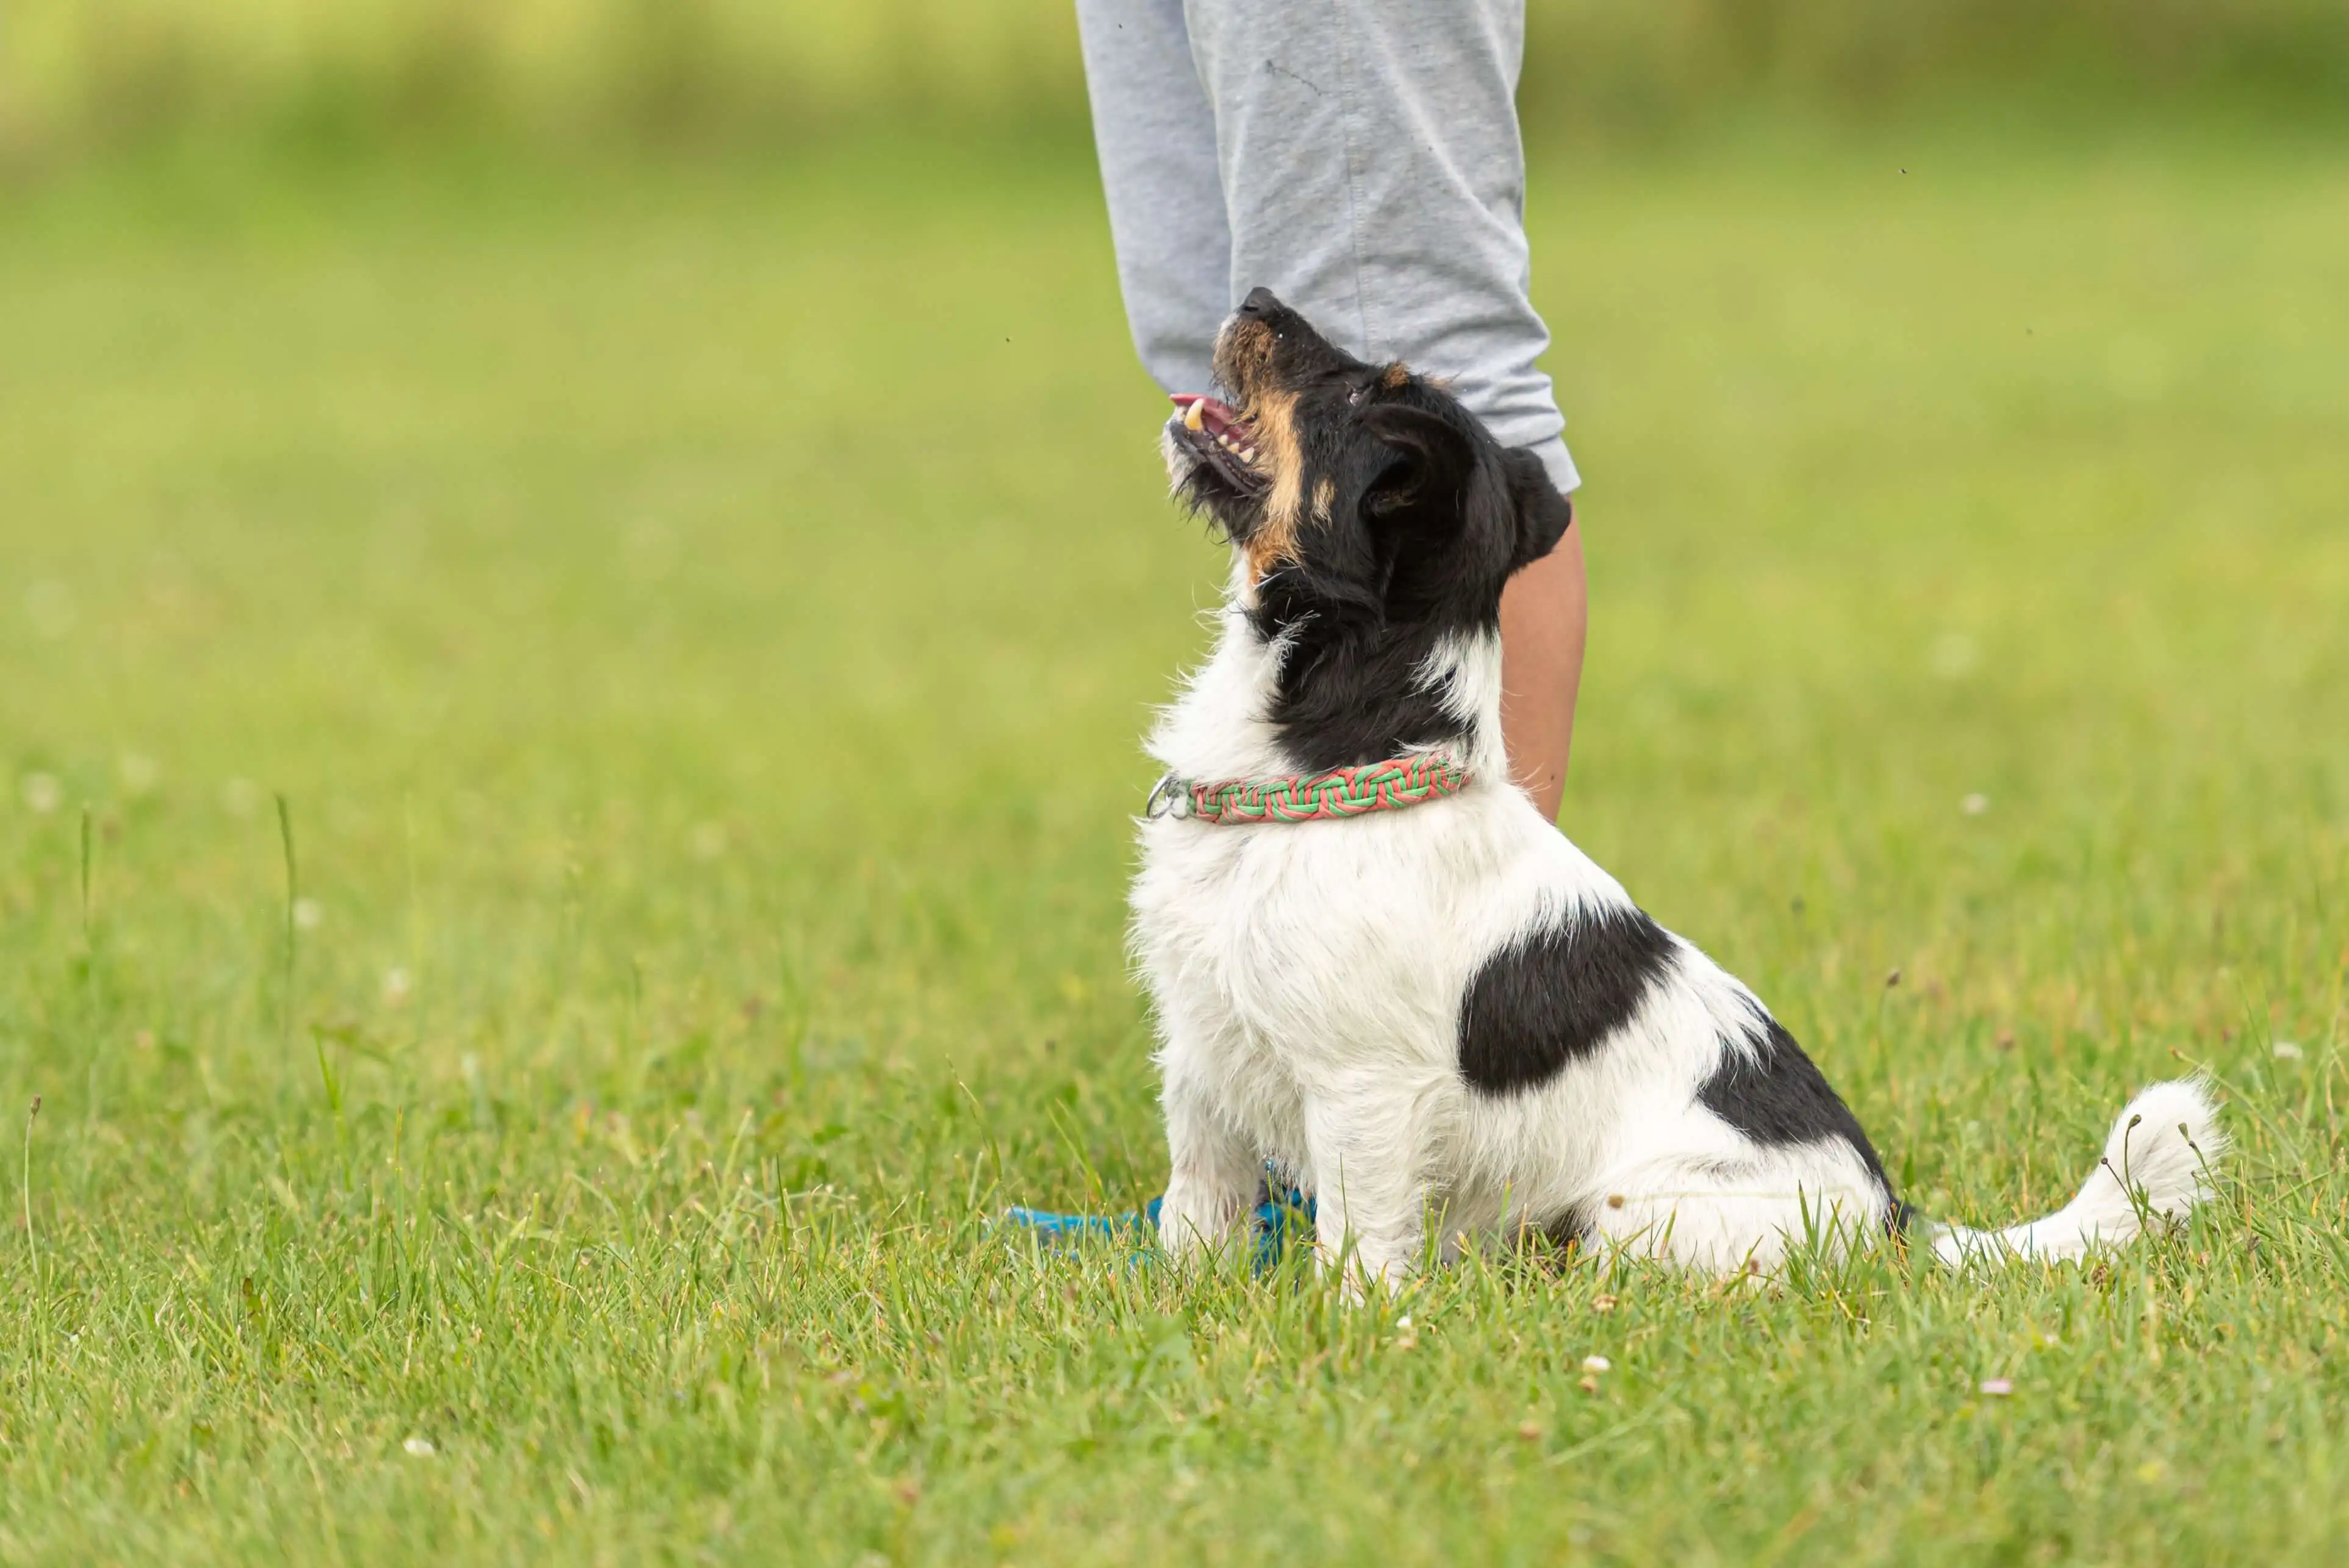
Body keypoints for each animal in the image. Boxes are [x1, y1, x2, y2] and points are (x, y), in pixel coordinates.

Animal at [1132, 287, 2217, 1295]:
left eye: (1361, 392)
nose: (1257, 298)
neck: (1329, 758)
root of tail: (1892, 1222)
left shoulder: (1363, 1089)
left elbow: (1359, 1247)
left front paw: (1350, 1324)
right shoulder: (1200, 1055)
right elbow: (1196, 1205)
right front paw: (1179, 1298)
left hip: (1630, 1213)